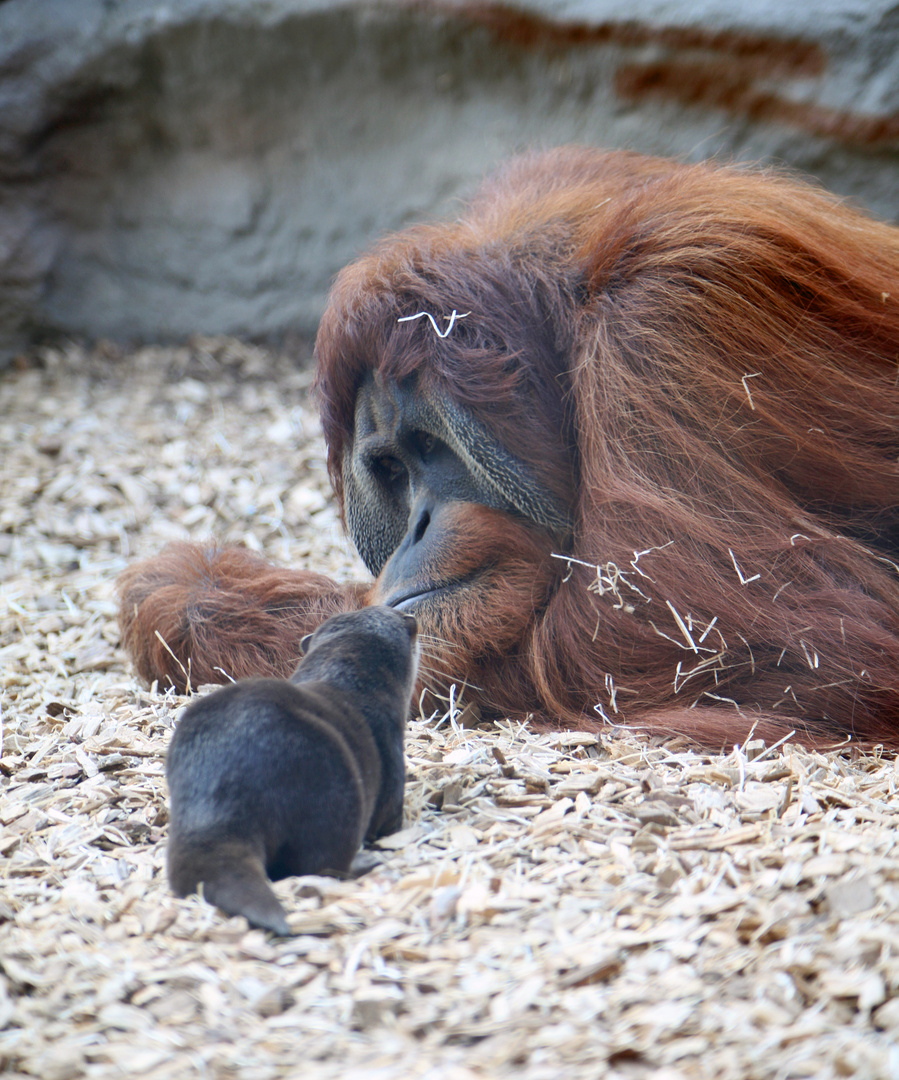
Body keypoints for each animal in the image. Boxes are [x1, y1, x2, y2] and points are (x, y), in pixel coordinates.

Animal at [164, 609, 417, 937]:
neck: (348, 680)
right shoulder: (390, 744)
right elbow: (389, 821)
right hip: (332, 793)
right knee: (319, 862)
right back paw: (364, 862)